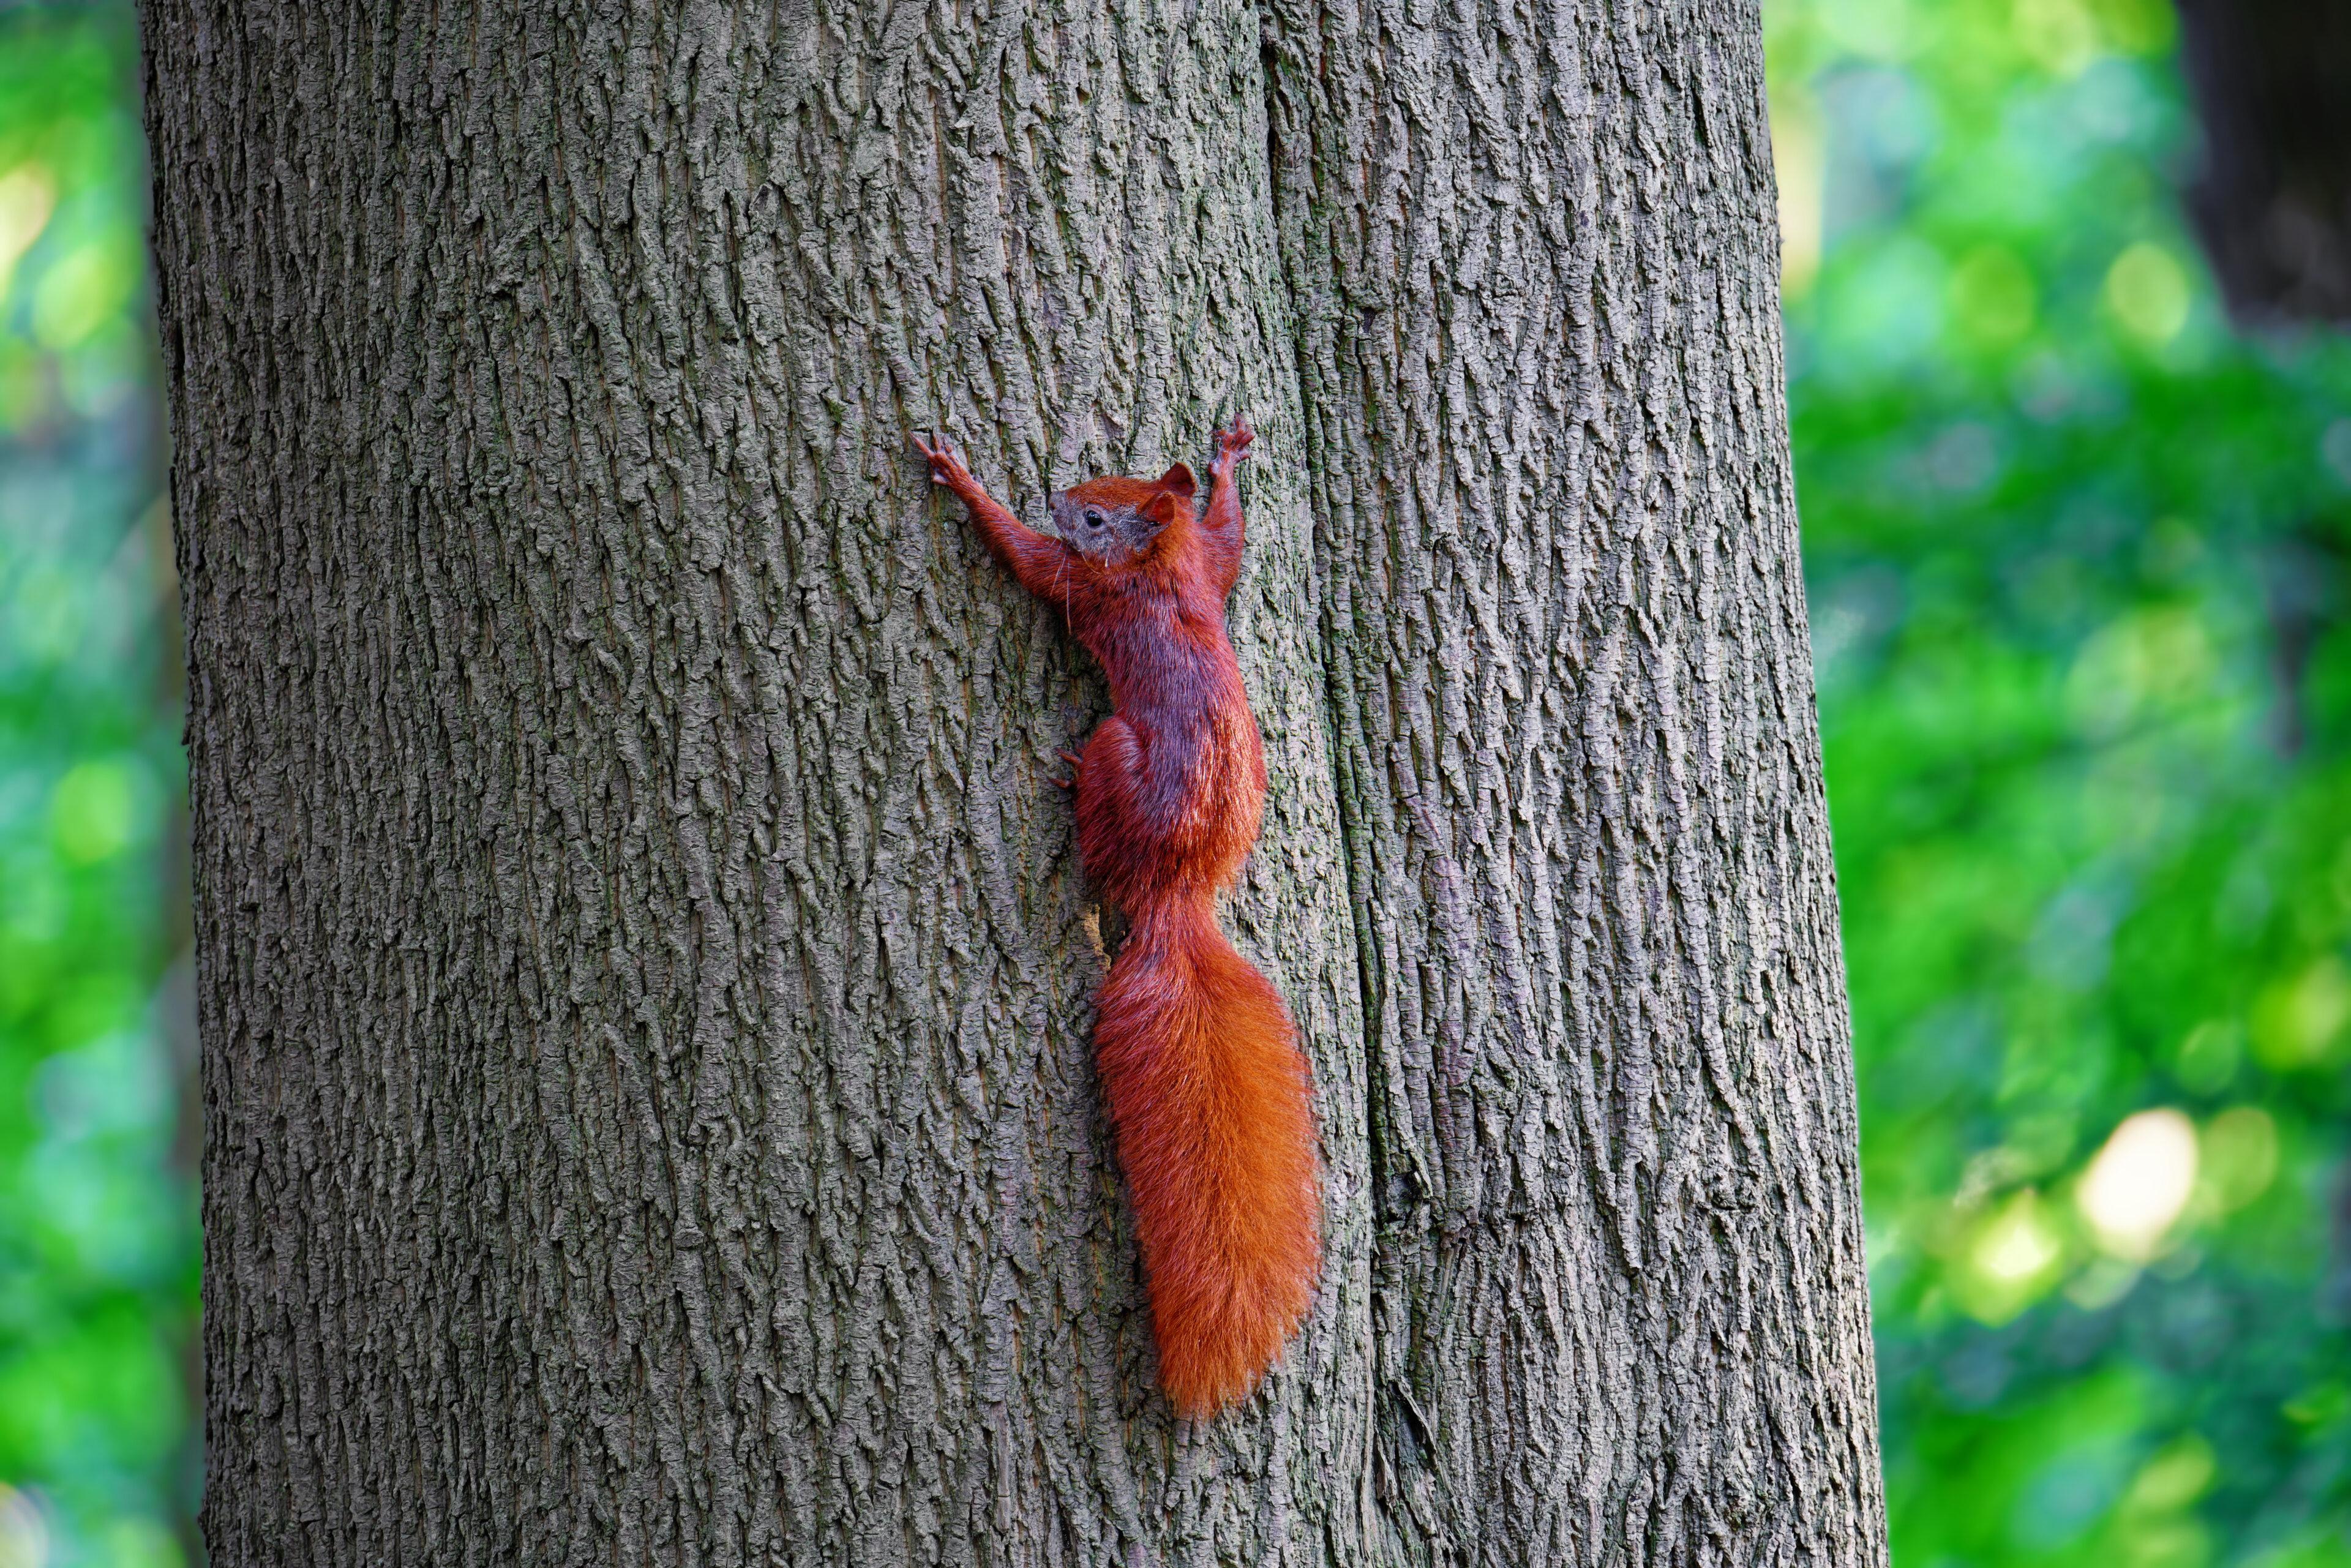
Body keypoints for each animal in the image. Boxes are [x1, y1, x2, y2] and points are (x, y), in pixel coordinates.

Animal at [907, 421, 1325, 1420]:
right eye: (1110, 485)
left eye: (1095, 517)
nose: (1061, 495)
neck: (1160, 567)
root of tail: (1179, 891)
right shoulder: (1208, 568)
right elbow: (1230, 537)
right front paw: (1225, 460)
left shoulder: (1086, 585)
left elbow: (1026, 560)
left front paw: (961, 480)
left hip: (1114, 751)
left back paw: (1067, 787)